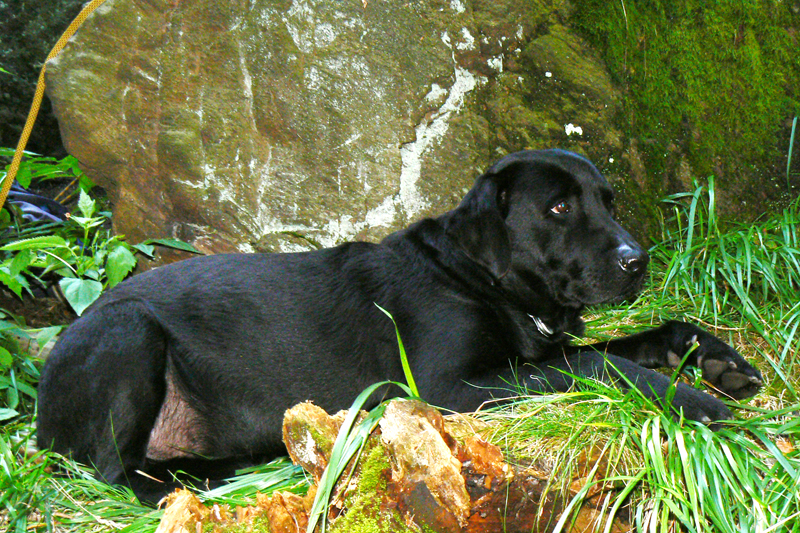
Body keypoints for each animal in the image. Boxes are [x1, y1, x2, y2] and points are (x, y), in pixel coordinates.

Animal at [37, 148, 764, 500]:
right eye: (558, 207)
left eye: (607, 201)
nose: (638, 260)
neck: (478, 278)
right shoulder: (449, 385)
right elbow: (598, 361)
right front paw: (697, 402)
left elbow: (653, 333)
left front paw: (721, 362)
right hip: (128, 333)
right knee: (119, 472)